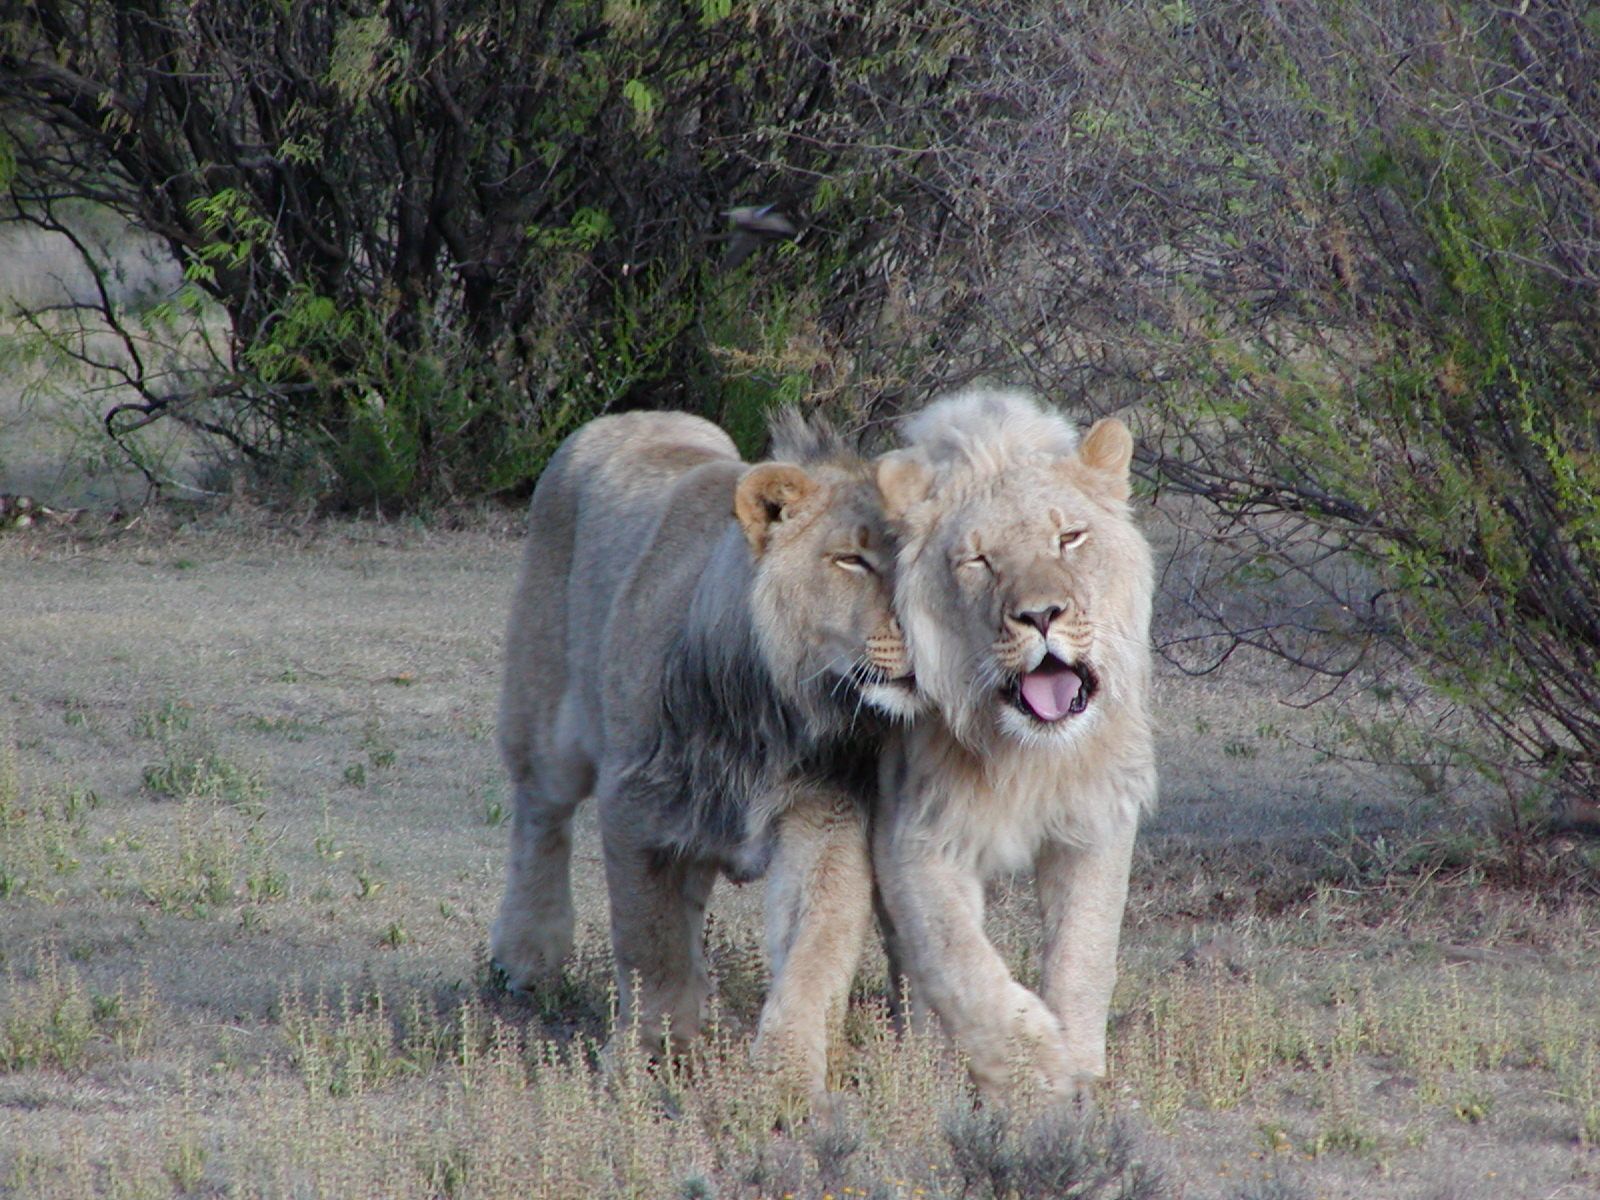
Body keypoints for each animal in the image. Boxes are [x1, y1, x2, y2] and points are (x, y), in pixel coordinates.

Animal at [492, 409, 919, 1097]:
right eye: (852, 560)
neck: (774, 712)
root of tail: (629, 415)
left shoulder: (825, 813)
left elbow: (817, 943)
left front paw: (786, 1079)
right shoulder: (637, 809)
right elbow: (651, 945)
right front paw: (647, 1060)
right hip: (544, 723)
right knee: (540, 818)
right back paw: (525, 959)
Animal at [872, 387, 1157, 1099]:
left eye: (1070, 537)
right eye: (978, 560)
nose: (1041, 615)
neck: (1031, 756)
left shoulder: (1097, 818)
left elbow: (1085, 951)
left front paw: (1081, 1068)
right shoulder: (914, 830)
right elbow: (957, 960)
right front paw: (1036, 1074)